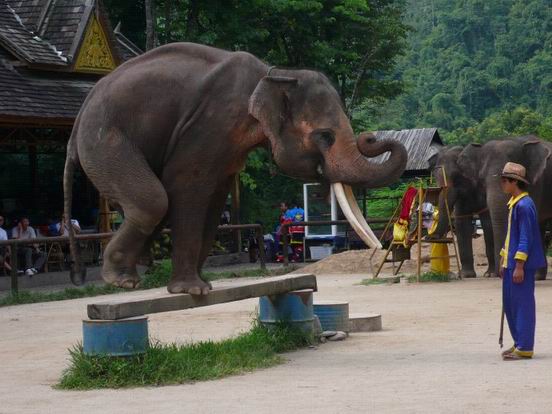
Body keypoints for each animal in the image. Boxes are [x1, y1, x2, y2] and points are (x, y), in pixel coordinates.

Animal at [66, 42, 410, 294]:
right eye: (324, 136)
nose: (370, 137)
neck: (274, 74)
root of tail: (79, 116)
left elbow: (214, 197)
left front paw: (202, 285)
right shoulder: (209, 124)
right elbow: (188, 184)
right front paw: (193, 291)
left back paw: (128, 277)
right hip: (105, 141)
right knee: (153, 201)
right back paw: (121, 280)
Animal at [426, 146, 496, 278]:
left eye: (456, 177)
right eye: (435, 177)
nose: (429, 237)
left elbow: (488, 223)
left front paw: (490, 274)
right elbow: (462, 224)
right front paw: (465, 275)